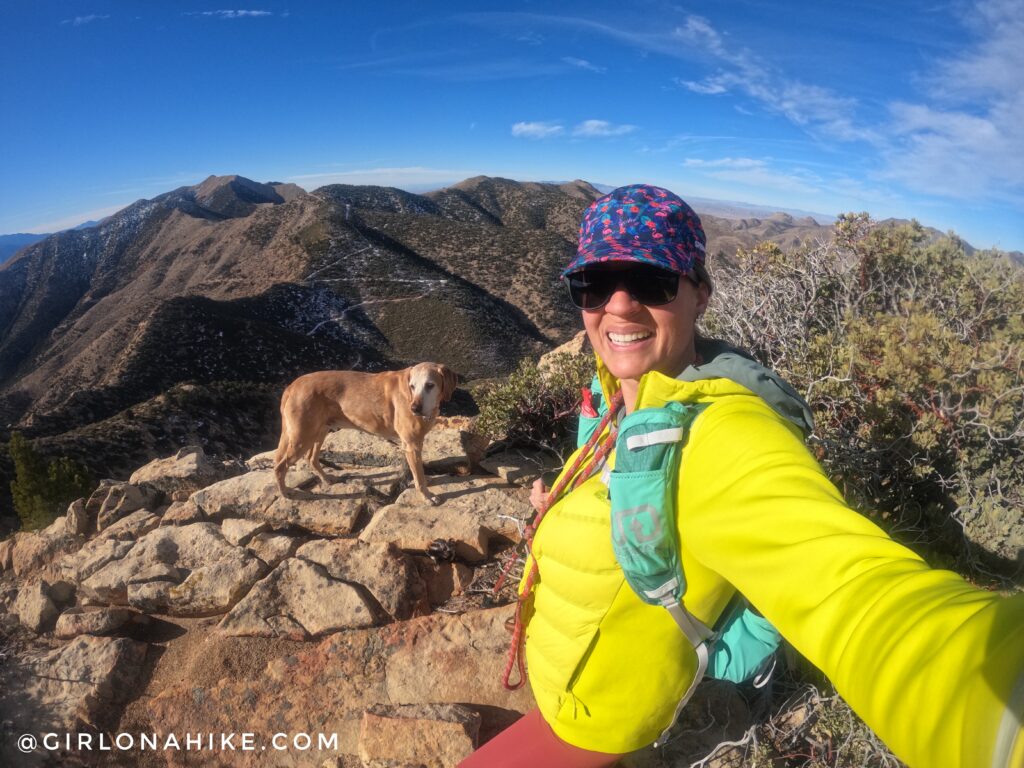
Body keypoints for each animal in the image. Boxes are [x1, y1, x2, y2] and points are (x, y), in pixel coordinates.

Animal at [276, 362, 460, 505]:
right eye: (412, 386)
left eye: (430, 385)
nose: (414, 408)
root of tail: (292, 386)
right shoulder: (411, 444)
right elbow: (419, 477)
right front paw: (426, 496)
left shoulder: (412, 444)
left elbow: (417, 471)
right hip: (302, 437)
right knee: (280, 466)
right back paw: (286, 493)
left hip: (319, 431)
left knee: (311, 458)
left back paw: (327, 479)